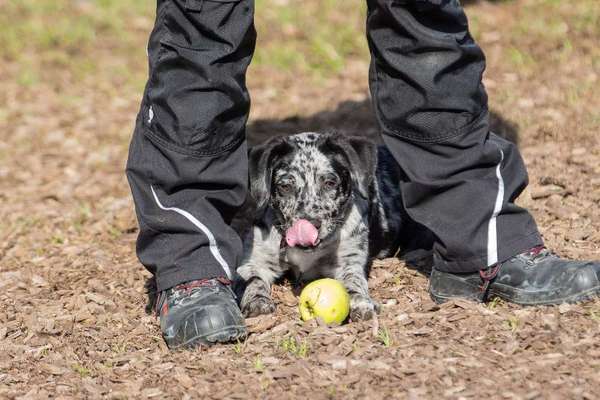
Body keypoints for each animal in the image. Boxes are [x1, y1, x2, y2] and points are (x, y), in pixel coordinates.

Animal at [236, 133, 412, 320]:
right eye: (285, 186)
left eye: (330, 183)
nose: (308, 226)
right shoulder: (253, 261)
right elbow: (253, 280)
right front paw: (256, 300)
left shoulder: (349, 262)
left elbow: (354, 281)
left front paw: (361, 302)